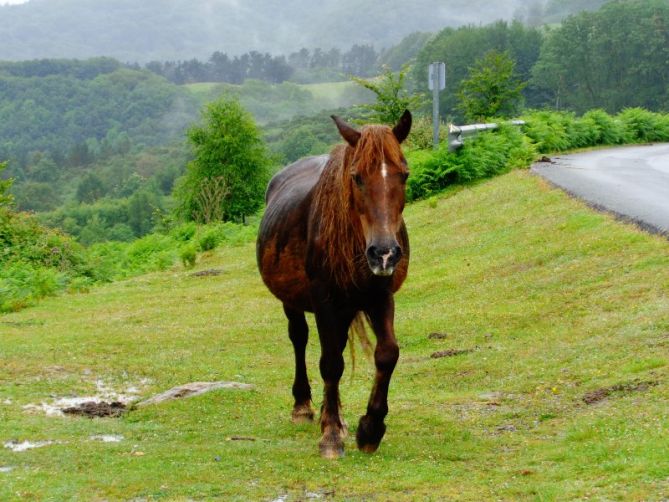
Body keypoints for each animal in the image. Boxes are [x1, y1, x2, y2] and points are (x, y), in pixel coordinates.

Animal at [258, 110, 410, 458]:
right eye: (357, 177)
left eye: (404, 175)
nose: (384, 253)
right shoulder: (325, 300)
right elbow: (330, 364)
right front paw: (330, 436)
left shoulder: (379, 296)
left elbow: (387, 353)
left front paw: (370, 428)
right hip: (294, 302)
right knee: (300, 339)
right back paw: (304, 406)